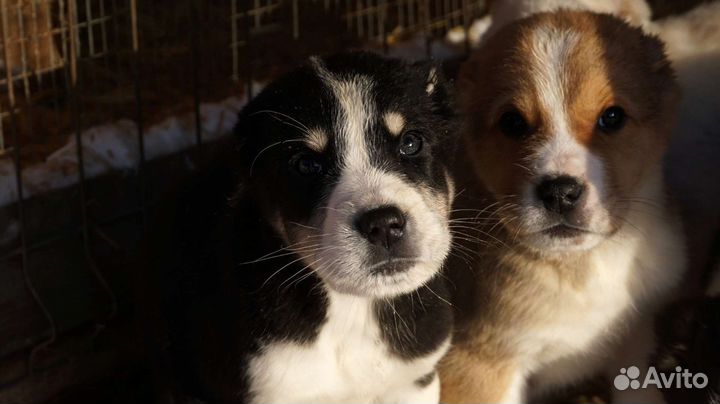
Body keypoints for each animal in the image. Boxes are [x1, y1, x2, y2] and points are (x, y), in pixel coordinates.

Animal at [444, 9, 688, 404]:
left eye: (612, 117)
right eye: (512, 122)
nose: (560, 193)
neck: (584, 265)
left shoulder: (636, 341)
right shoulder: (479, 367)